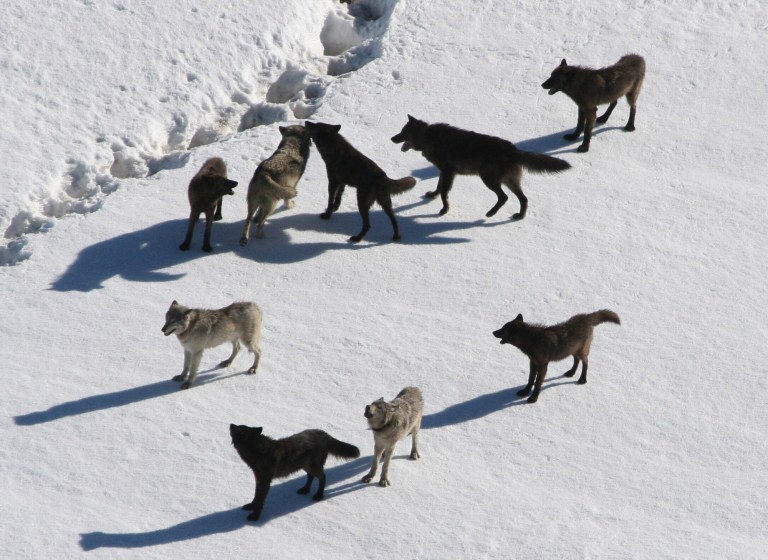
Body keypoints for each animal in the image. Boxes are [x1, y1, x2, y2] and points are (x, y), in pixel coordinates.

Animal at [229, 424, 360, 521]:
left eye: (239, 429)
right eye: (240, 425)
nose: (231, 424)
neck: (258, 451)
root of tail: (324, 434)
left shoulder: (265, 481)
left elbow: (260, 499)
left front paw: (255, 516)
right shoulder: (258, 479)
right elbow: (256, 496)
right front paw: (251, 506)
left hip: (313, 466)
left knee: (323, 477)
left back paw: (318, 496)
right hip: (305, 466)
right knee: (311, 476)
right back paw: (305, 490)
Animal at [391, 116, 570, 220]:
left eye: (403, 133)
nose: (392, 138)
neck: (429, 137)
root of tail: (514, 150)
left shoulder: (448, 172)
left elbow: (444, 193)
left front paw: (444, 209)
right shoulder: (444, 171)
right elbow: (439, 187)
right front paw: (432, 196)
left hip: (488, 179)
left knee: (504, 197)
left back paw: (491, 213)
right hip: (510, 182)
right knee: (523, 199)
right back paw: (519, 216)